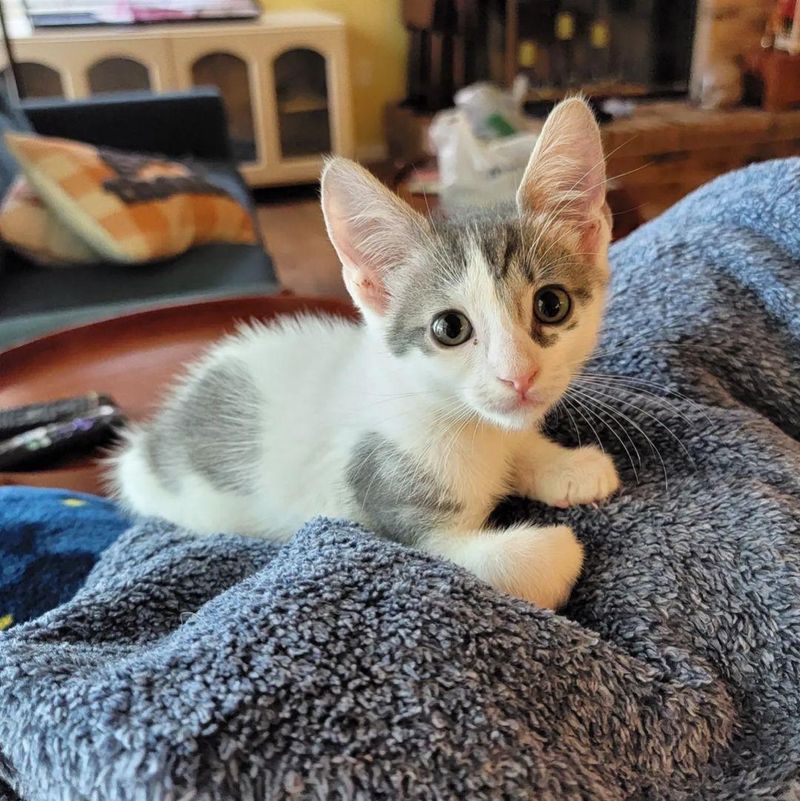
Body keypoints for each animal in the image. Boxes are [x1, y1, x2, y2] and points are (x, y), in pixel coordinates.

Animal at [111, 97, 620, 608]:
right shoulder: (386, 519)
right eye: (449, 328)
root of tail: (150, 441)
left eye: (551, 305)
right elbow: (519, 563)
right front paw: (557, 542)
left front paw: (567, 465)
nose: (519, 376)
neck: (464, 423)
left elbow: (522, 444)